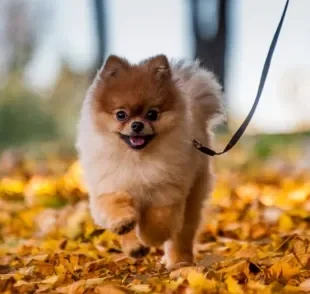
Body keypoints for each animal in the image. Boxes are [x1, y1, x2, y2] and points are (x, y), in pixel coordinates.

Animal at [76, 54, 224, 270]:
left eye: (152, 114)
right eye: (121, 114)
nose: (137, 125)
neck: (137, 159)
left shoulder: (166, 192)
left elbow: (159, 220)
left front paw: (151, 238)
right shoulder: (110, 185)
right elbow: (116, 206)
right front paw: (125, 227)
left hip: (193, 197)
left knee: (182, 234)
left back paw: (180, 262)